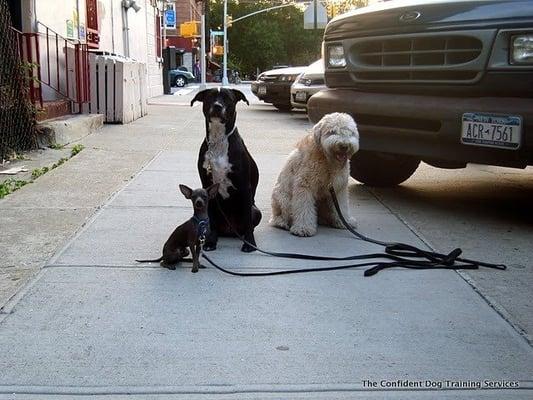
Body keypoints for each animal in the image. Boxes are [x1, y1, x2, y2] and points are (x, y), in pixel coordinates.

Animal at [190, 88, 260, 252]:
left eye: (228, 98)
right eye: (210, 96)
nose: (217, 106)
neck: (218, 140)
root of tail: (230, 230)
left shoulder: (245, 187)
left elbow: (248, 221)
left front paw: (250, 243)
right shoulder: (208, 187)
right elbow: (212, 219)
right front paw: (210, 241)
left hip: (256, 211)